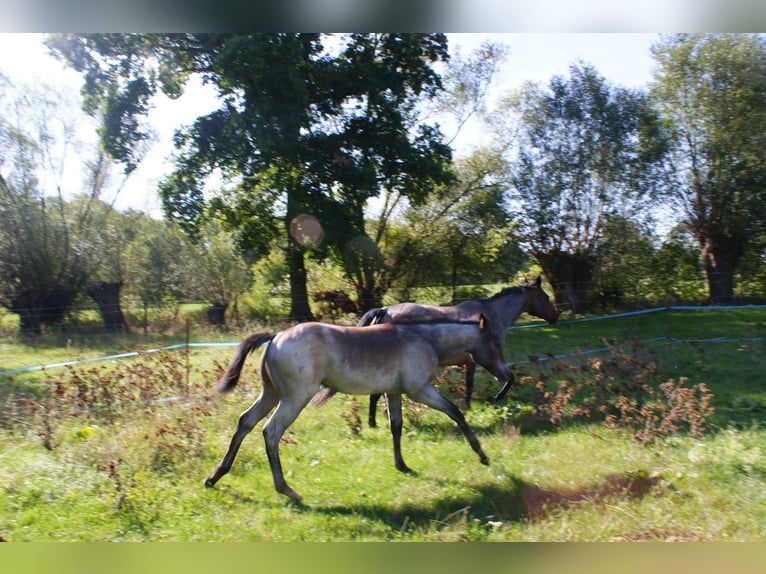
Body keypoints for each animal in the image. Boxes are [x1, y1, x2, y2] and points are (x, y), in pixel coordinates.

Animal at [204, 315, 506, 502]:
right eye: (494, 341)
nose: (505, 375)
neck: (423, 338)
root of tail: (276, 337)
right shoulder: (420, 390)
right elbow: (455, 412)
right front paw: (482, 455)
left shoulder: (394, 392)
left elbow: (396, 426)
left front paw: (402, 465)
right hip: (294, 397)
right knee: (271, 431)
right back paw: (287, 490)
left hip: (270, 393)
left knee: (245, 421)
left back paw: (215, 476)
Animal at [359, 276, 559, 427]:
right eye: (546, 297)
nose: (556, 317)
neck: (492, 315)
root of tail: (384, 310)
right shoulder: (485, 358)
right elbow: (509, 378)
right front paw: (493, 399)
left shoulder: (471, 362)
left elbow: (469, 385)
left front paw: (468, 408)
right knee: (376, 393)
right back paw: (374, 422)